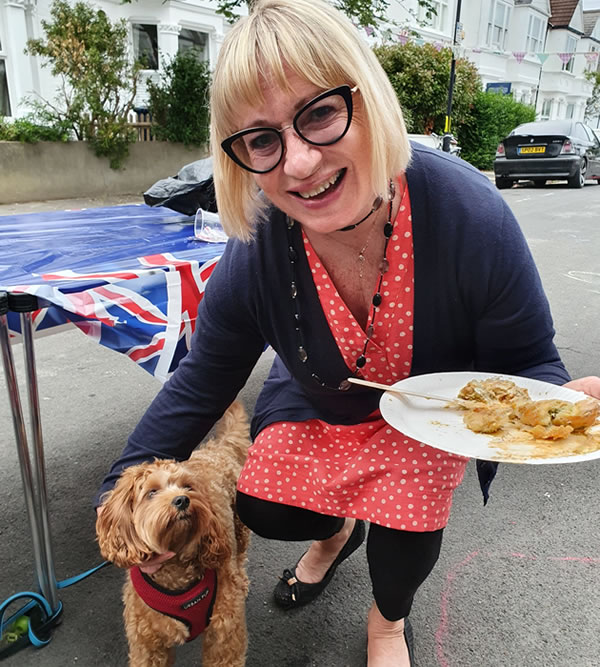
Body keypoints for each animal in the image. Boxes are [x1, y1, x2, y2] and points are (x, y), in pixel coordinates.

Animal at [96, 402, 251, 667]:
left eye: (188, 486)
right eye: (151, 492)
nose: (182, 500)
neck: (176, 571)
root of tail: (216, 448)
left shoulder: (224, 633)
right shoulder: (147, 643)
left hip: (239, 529)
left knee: (239, 558)